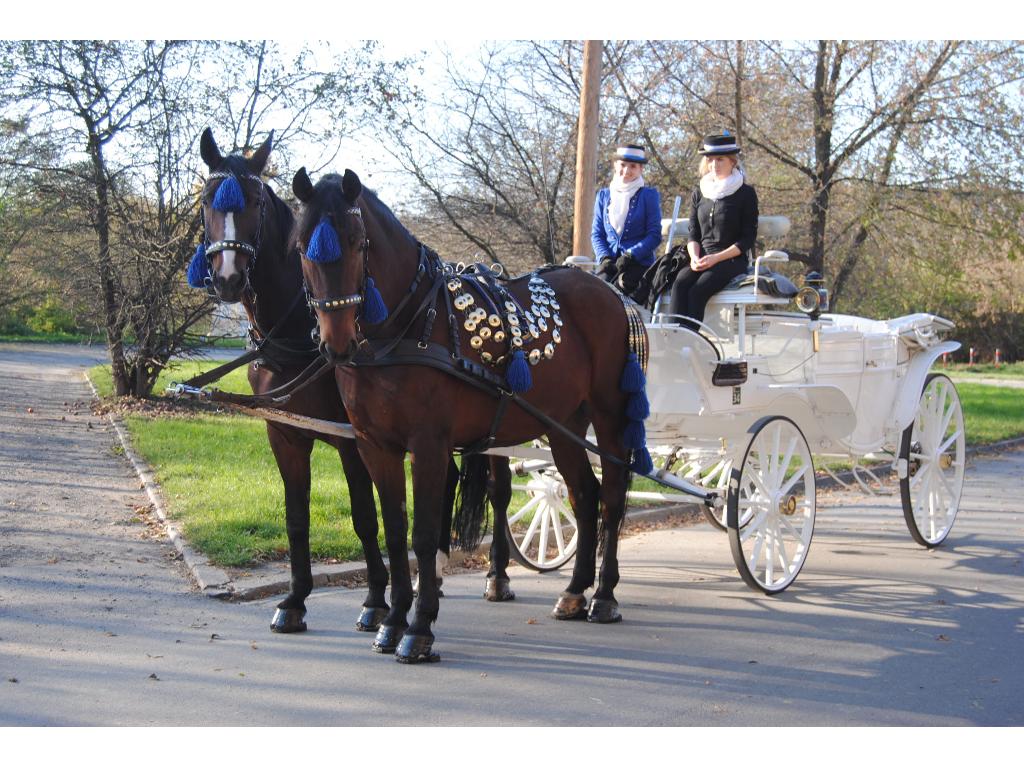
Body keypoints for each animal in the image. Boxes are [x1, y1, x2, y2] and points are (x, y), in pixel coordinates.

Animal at [292, 166, 651, 663]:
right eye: (301, 246)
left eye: (357, 242)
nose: (337, 343)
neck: (407, 325)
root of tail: (613, 294)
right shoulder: (374, 445)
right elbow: (395, 530)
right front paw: (392, 620)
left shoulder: (428, 445)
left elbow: (424, 536)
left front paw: (419, 628)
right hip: (564, 425)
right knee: (584, 496)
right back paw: (575, 592)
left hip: (611, 415)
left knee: (613, 496)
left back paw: (604, 597)